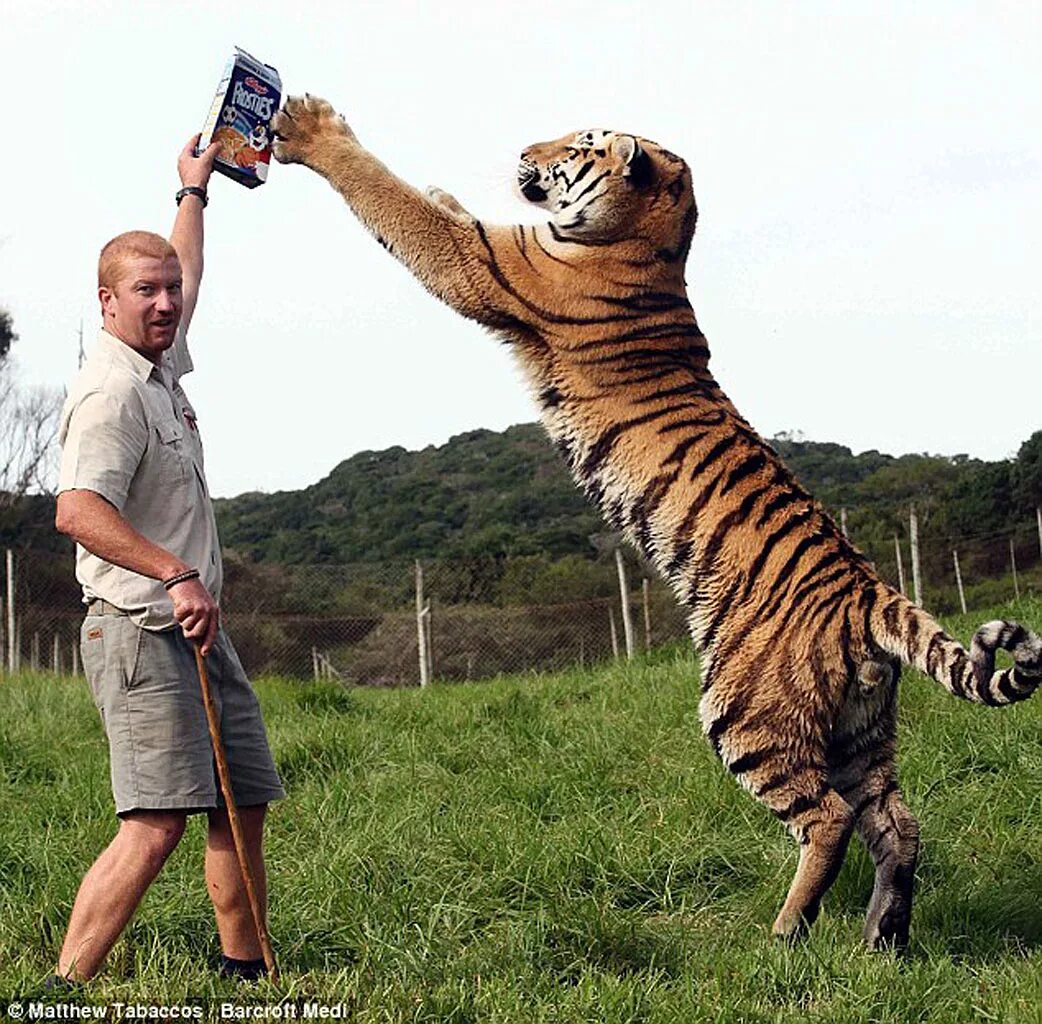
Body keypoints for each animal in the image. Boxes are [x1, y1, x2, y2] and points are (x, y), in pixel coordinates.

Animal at [273, 92, 1042, 950]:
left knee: (830, 819)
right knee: (898, 823)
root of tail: (871, 593)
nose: (523, 150)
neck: (649, 238)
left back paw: (785, 933)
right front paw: (440, 184)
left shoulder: (485, 264)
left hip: (747, 718)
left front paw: (311, 129)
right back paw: (883, 940)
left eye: (578, 142)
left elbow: (394, 200)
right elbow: (436, 204)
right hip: (861, 732)